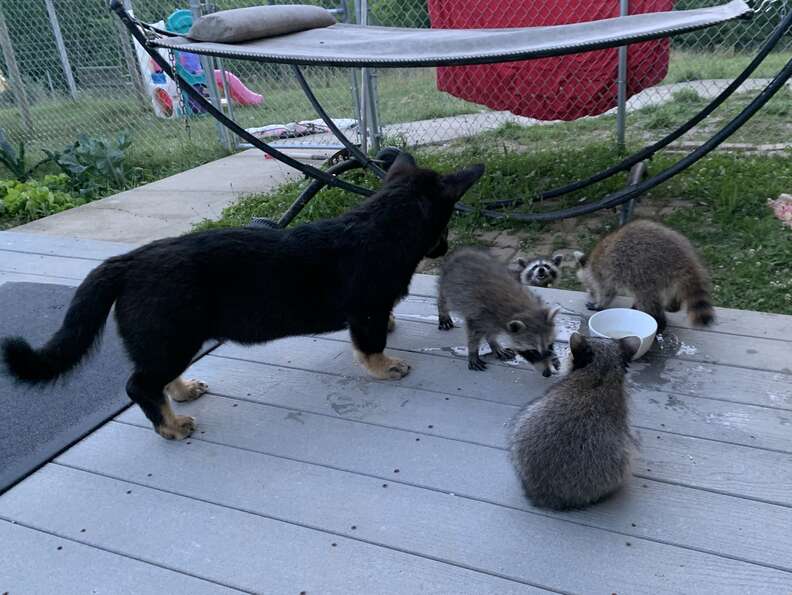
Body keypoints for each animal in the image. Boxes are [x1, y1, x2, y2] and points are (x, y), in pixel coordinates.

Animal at [1, 154, 482, 440]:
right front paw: (386, 367)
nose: (442, 248)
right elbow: (371, 347)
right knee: (138, 385)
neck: (383, 221)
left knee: (155, 380)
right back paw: (171, 428)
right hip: (173, 339)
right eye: (444, 224)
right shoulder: (366, 313)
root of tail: (127, 262)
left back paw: (183, 392)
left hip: (167, 344)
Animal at [436, 248, 560, 378]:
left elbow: (491, 332)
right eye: (533, 352)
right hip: (451, 286)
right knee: (444, 298)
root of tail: (463, 252)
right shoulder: (480, 313)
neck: (525, 309)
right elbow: (474, 334)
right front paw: (473, 351)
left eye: (550, 346)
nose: (547, 373)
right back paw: (443, 310)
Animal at [572, 219, 716, 332]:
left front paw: (599, 304)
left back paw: (659, 321)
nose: (589, 292)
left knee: (646, 298)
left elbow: (607, 292)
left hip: (644, 270)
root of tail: (683, 258)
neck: (590, 261)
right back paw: (673, 305)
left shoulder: (603, 274)